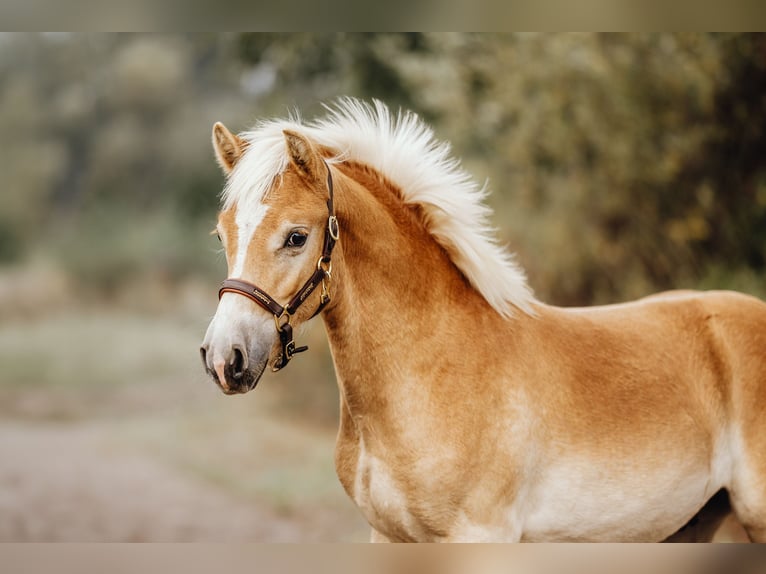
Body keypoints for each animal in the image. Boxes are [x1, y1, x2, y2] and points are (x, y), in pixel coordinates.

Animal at [201, 99, 766, 544]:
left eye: (296, 236)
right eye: (222, 235)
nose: (225, 359)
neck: (433, 369)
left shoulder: (481, 535)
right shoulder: (389, 537)